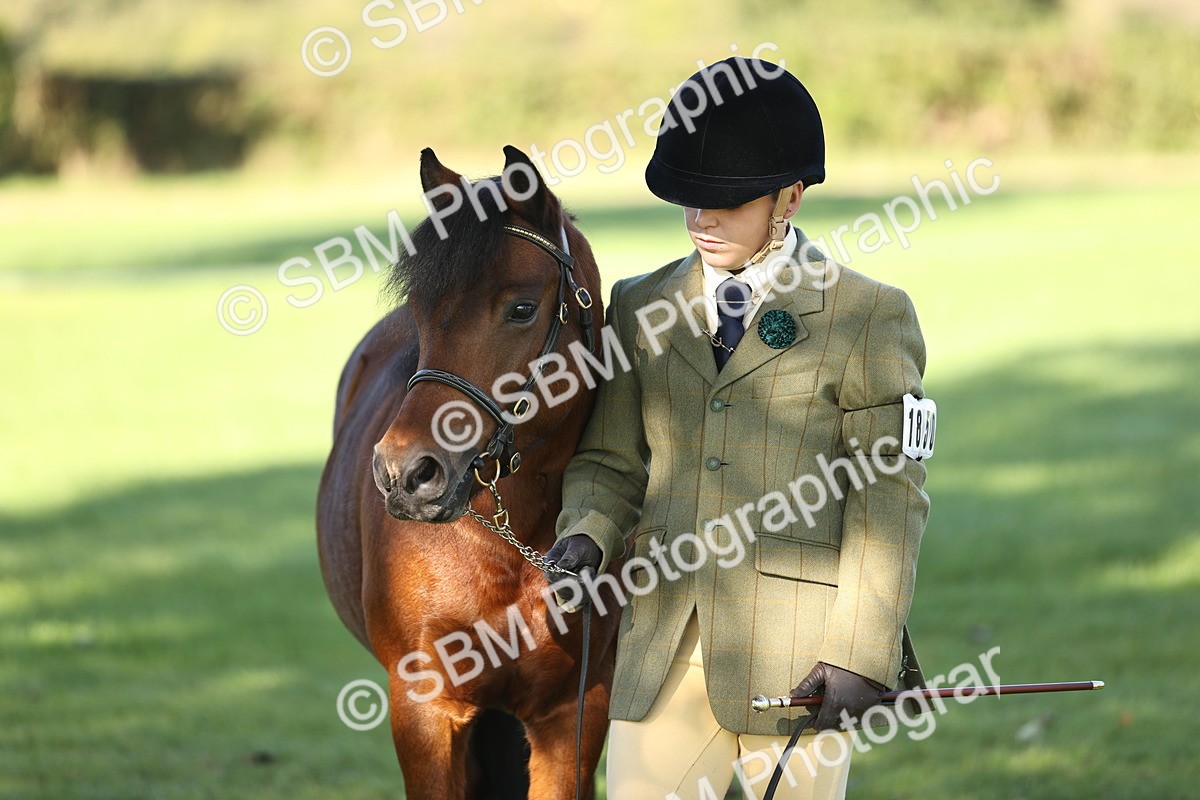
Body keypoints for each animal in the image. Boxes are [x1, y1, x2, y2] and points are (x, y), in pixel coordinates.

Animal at [316, 145, 618, 799]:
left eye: (522, 308)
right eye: (419, 311)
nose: (405, 473)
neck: (510, 546)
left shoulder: (574, 713)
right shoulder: (424, 709)